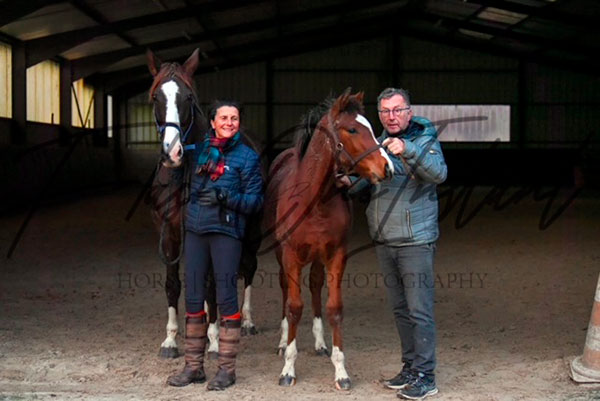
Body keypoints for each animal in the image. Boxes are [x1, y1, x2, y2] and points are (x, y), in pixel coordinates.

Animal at [264, 90, 394, 388]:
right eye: (353, 129)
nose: (387, 167)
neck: (315, 201)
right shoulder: (290, 255)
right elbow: (294, 307)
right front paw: (288, 370)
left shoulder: (336, 255)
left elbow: (334, 308)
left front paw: (341, 372)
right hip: (282, 255)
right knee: (285, 289)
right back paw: (282, 342)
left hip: (317, 258)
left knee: (314, 285)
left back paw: (320, 343)